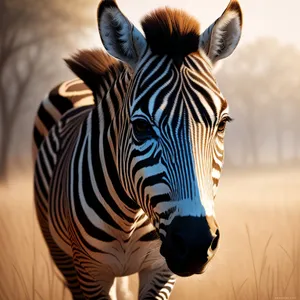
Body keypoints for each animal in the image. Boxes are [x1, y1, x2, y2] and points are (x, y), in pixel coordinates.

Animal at [32, 1, 243, 298]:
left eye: (222, 124)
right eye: (141, 126)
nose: (195, 243)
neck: (129, 217)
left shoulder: (160, 270)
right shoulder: (91, 272)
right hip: (59, 251)